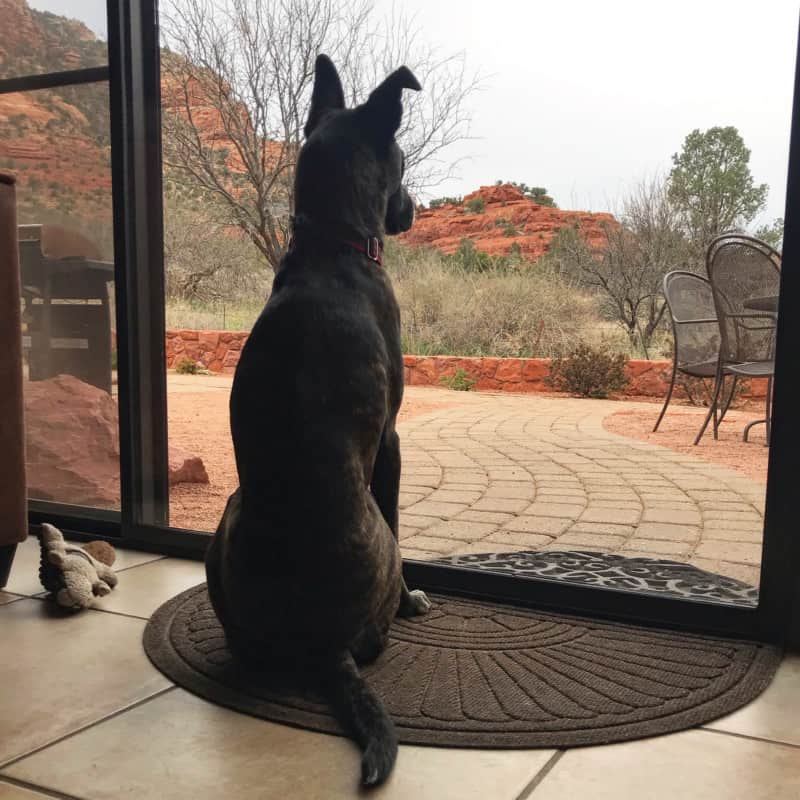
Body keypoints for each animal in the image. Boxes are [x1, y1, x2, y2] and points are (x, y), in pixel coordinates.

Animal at [206, 56, 432, 788]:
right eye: (401, 159)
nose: (414, 211)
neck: (332, 246)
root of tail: (322, 643)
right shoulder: (390, 437)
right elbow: (398, 504)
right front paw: (416, 597)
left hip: (227, 512)